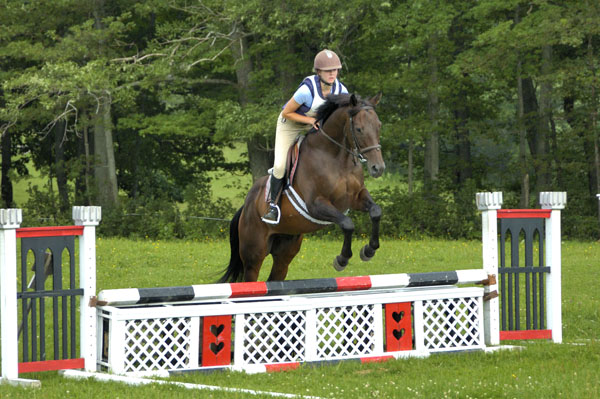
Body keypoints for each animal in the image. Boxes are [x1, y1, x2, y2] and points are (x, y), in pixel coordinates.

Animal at [219, 93, 384, 284]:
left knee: (276, 275)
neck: (336, 158)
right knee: (251, 276)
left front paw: (369, 250)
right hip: (254, 253)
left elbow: (376, 211)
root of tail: (246, 206)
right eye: (358, 129)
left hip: (285, 249)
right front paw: (341, 260)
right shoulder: (316, 205)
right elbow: (347, 224)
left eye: (379, 126)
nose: (378, 168)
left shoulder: (356, 197)